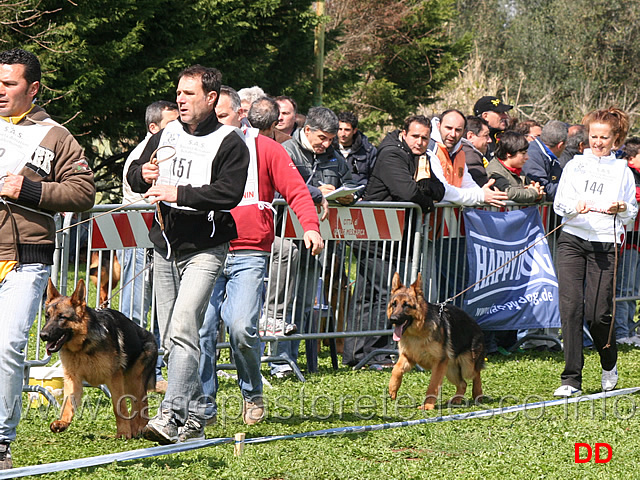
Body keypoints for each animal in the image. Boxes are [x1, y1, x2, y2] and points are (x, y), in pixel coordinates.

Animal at [40, 278, 158, 438]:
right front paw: (62, 422)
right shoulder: (73, 379)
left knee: (141, 406)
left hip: (135, 381)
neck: (83, 346)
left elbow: (119, 407)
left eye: (62, 317)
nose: (43, 335)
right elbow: (68, 403)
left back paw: (140, 429)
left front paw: (123, 432)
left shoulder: (114, 379)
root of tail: (150, 335)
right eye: (47, 316)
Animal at [384, 274, 484, 408]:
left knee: (476, 374)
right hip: (450, 370)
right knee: (463, 384)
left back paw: (478, 393)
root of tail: (476, 324)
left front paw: (427, 406)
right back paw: (456, 400)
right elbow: (396, 369)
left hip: (467, 365)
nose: (393, 319)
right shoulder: (408, 357)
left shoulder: (439, 363)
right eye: (394, 304)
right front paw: (392, 389)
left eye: (406, 305)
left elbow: (433, 385)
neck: (417, 333)